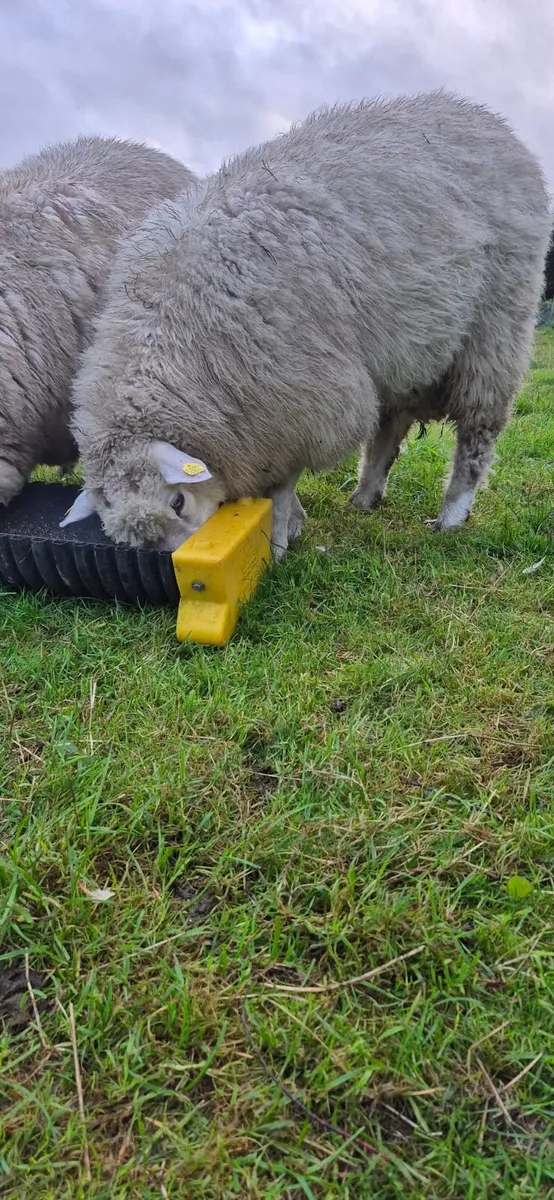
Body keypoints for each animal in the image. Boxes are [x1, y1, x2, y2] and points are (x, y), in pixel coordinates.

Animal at [62, 91, 552, 558]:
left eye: (178, 501)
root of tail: (483, 116)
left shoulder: (299, 404)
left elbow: (280, 487)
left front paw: (278, 540)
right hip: (404, 352)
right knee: (389, 428)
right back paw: (365, 496)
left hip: (496, 327)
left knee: (478, 430)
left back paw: (451, 514)